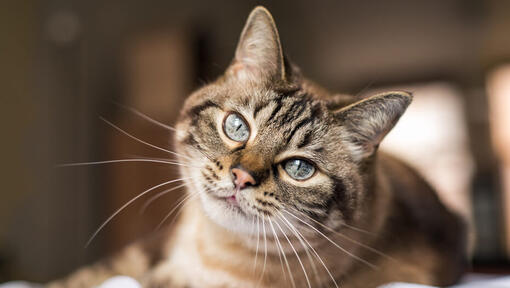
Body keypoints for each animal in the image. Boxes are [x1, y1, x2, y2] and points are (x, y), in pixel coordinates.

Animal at [49, 5, 468, 288]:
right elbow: (85, 277)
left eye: (299, 168)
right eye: (237, 127)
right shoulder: (150, 250)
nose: (241, 177)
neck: (212, 251)